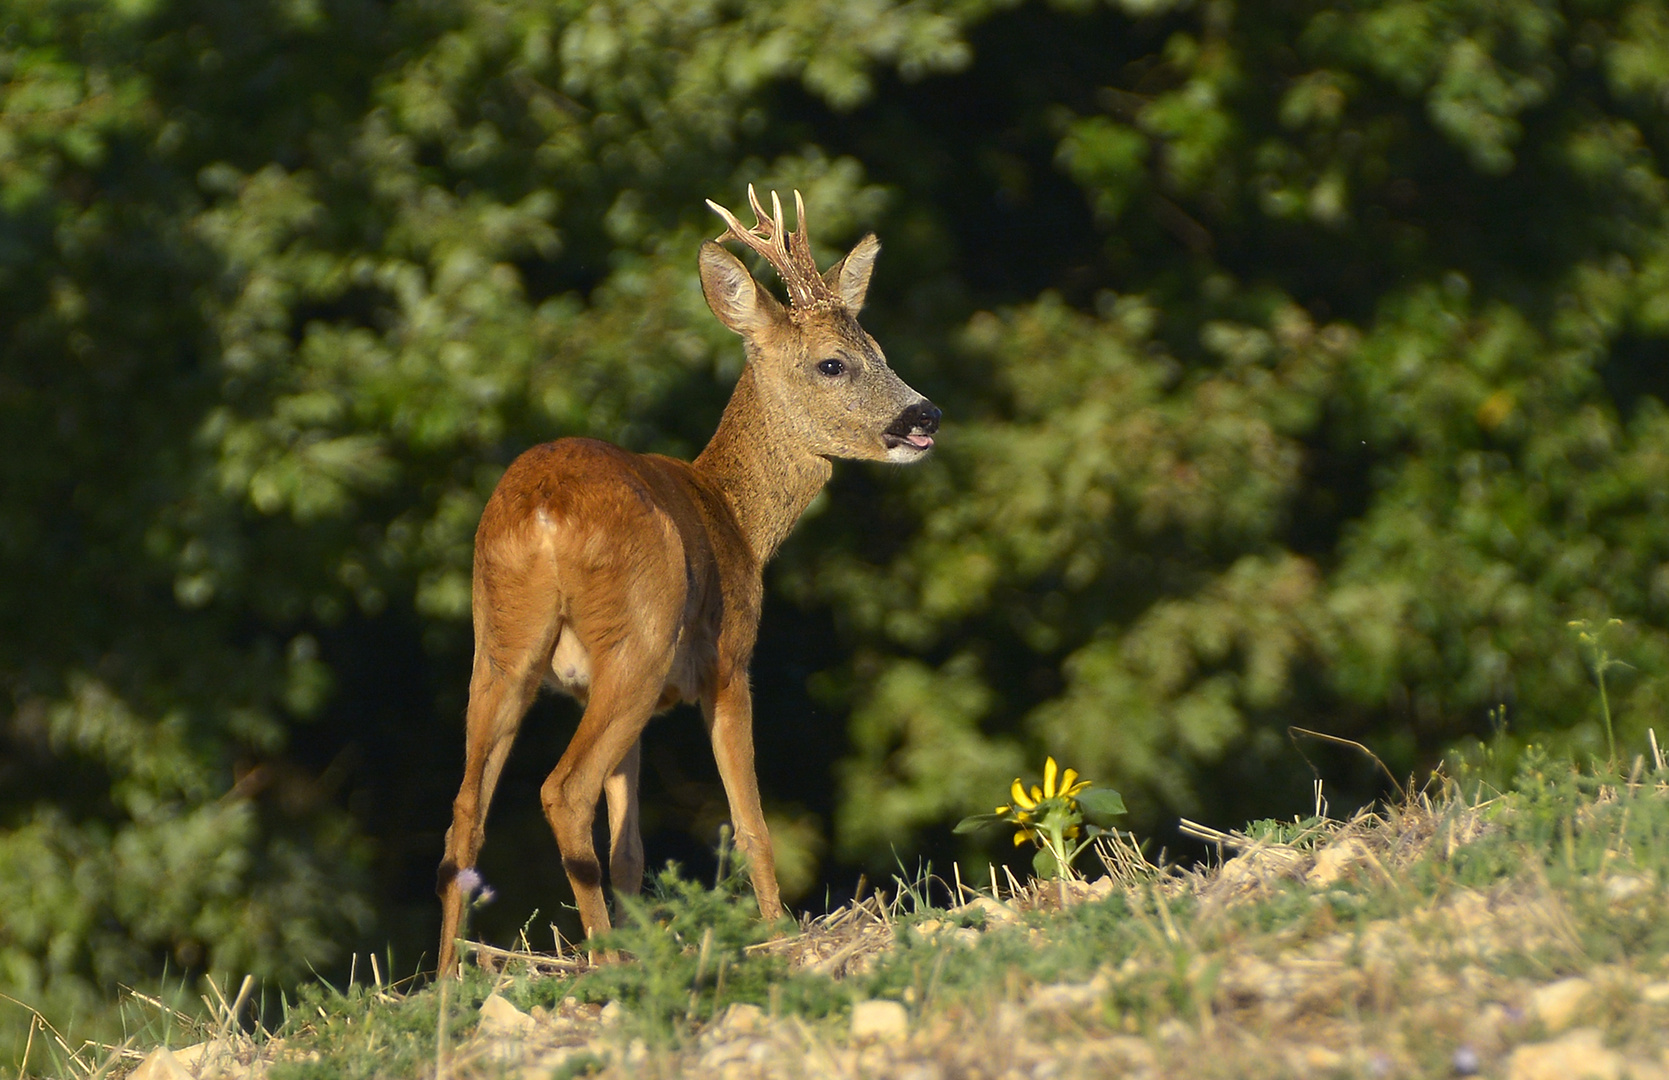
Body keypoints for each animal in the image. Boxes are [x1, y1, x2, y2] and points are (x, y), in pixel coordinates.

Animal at [437, 186, 941, 974]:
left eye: (880, 353)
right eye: (833, 364)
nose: (926, 415)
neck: (736, 514)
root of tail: (544, 515)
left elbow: (630, 850)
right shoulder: (728, 663)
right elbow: (750, 821)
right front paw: (778, 934)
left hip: (501, 642)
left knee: (465, 811)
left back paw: (448, 980)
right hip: (639, 638)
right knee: (562, 791)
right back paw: (603, 965)